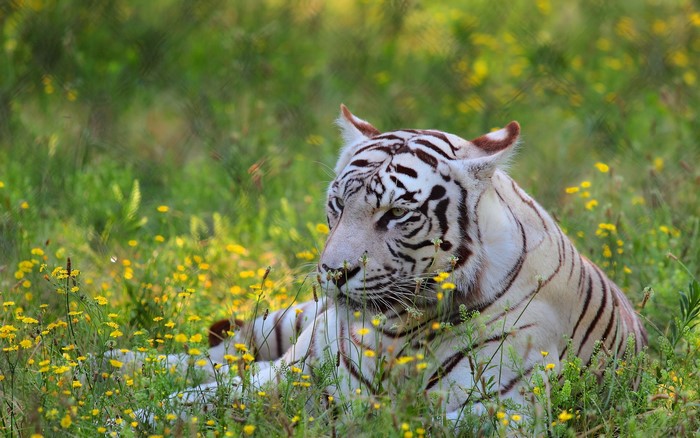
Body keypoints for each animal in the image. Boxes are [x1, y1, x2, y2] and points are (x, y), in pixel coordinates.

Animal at [117, 105, 647, 425]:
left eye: (395, 214)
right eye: (337, 204)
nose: (332, 274)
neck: (398, 331)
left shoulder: (504, 411)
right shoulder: (301, 377)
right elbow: (201, 400)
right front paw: (127, 418)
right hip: (293, 335)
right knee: (216, 360)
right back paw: (112, 366)